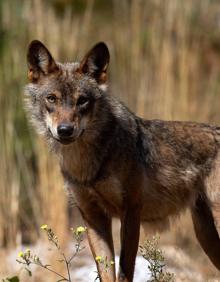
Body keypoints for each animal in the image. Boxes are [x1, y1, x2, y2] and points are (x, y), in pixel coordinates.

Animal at [25, 40, 220, 282]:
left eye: (82, 101)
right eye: (52, 98)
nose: (65, 130)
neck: (88, 166)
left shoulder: (132, 211)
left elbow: (124, 270)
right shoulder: (93, 217)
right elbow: (106, 272)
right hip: (206, 235)